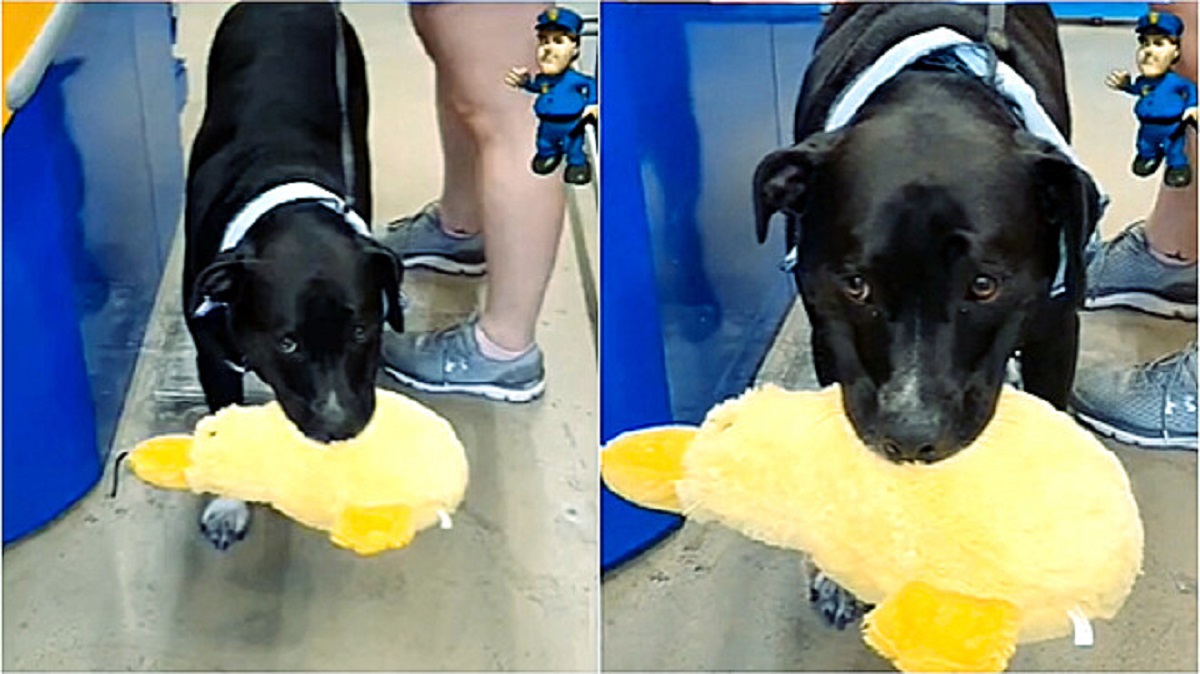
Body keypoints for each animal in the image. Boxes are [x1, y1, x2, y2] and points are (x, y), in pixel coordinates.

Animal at [180, 2, 400, 549]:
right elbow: (224, 421)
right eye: (288, 343)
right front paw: (227, 505)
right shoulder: (212, 359)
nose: (339, 425)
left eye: (362, 331)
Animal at [753, 3, 1099, 623]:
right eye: (857, 285)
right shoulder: (833, 341)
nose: (912, 438)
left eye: (984, 285)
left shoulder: (1056, 333)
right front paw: (842, 576)